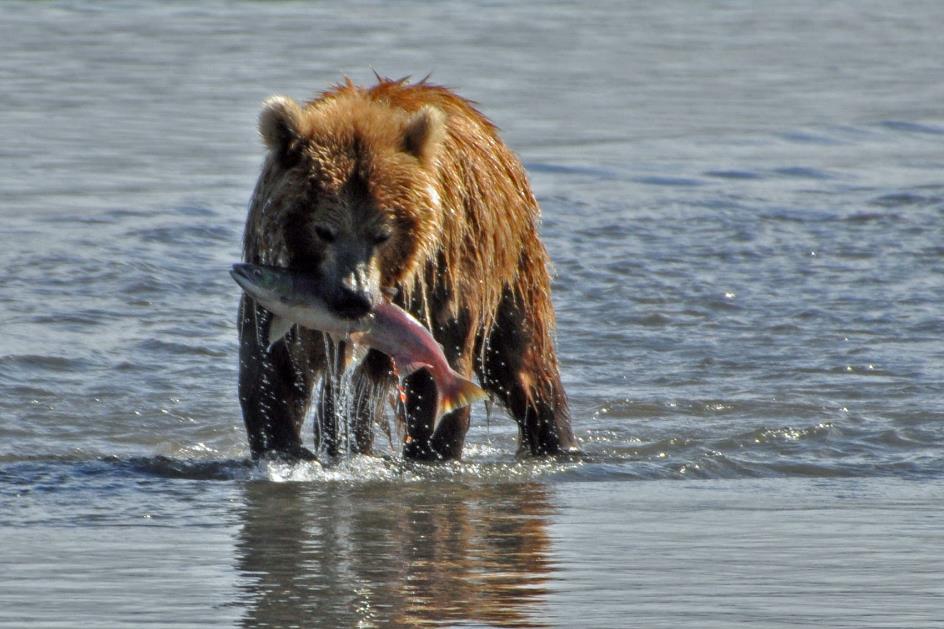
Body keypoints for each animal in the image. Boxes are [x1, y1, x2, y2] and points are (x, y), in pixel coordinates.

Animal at [238, 78, 576, 462]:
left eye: (383, 233)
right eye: (323, 230)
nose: (354, 297)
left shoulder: (439, 282)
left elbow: (436, 373)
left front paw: (430, 449)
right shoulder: (273, 272)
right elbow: (271, 368)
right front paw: (283, 448)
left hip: (511, 268)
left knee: (523, 363)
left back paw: (557, 439)